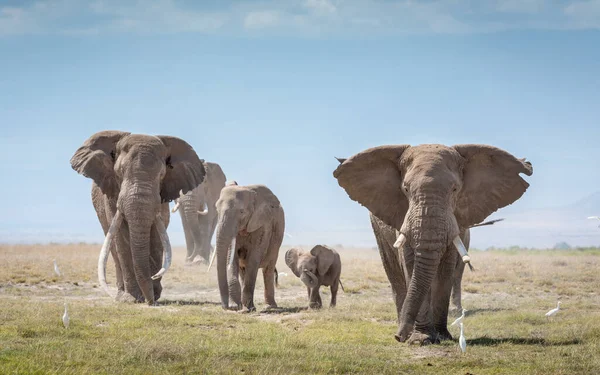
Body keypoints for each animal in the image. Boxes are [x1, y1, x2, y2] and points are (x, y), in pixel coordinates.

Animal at [70, 131, 205, 306]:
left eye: (162, 175)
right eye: (119, 173)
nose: (151, 302)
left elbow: (156, 236)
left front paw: (154, 294)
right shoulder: (113, 195)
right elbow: (122, 237)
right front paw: (132, 298)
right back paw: (121, 294)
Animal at [212, 184, 284, 312]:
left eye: (241, 211)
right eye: (217, 210)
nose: (225, 307)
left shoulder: (263, 224)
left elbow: (254, 258)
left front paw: (248, 309)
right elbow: (232, 257)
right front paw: (236, 306)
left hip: (277, 240)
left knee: (268, 269)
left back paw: (270, 307)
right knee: (243, 270)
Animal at [332, 145, 536, 346]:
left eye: (455, 189)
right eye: (405, 189)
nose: (398, 337)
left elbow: (446, 269)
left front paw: (442, 336)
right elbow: (410, 264)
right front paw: (420, 339)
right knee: (393, 270)